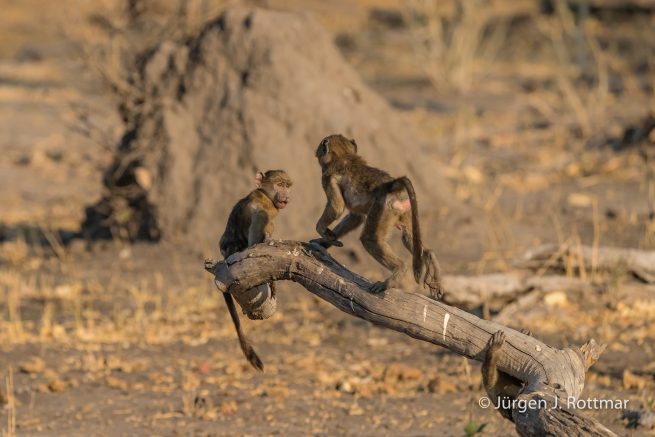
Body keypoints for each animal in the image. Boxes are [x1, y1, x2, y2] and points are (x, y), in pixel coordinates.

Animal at [218, 170, 292, 371]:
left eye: (287, 186)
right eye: (279, 185)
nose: (286, 196)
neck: (263, 194)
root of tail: (225, 256)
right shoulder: (264, 211)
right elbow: (255, 240)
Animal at [310, 134, 443, 298]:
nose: (316, 152)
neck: (344, 154)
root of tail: (391, 186)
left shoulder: (327, 177)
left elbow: (337, 207)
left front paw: (321, 230)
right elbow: (356, 217)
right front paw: (325, 241)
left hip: (383, 208)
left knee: (369, 239)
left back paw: (396, 273)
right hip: (405, 210)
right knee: (408, 237)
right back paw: (431, 258)